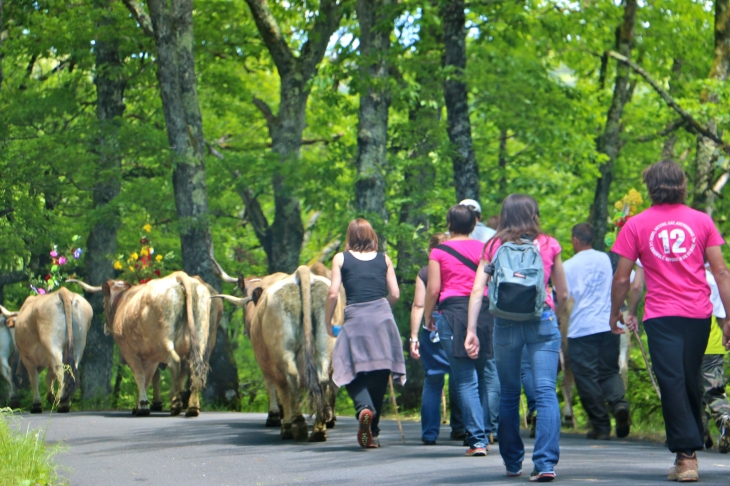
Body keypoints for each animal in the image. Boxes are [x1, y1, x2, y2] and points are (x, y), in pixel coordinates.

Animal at [68, 272, 209, 416]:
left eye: (103, 303)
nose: (106, 328)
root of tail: (178, 275)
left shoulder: (129, 352)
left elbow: (139, 376)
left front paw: (142, 406)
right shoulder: (152, 357)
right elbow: (148, 378)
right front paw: (139, 405)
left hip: (163, 342)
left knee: (175, 362)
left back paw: (176, 403)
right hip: (199, 339)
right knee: (191, 367)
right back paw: (193, 407)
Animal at [209, 262, 336, 440]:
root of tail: (302, 273)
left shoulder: (264, 359)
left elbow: (272, 385)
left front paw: (275, 416)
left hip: (282, 348)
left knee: (292, 378)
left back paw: (296, 425)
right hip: (326, 348)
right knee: (324, 379)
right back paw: (321, 426)